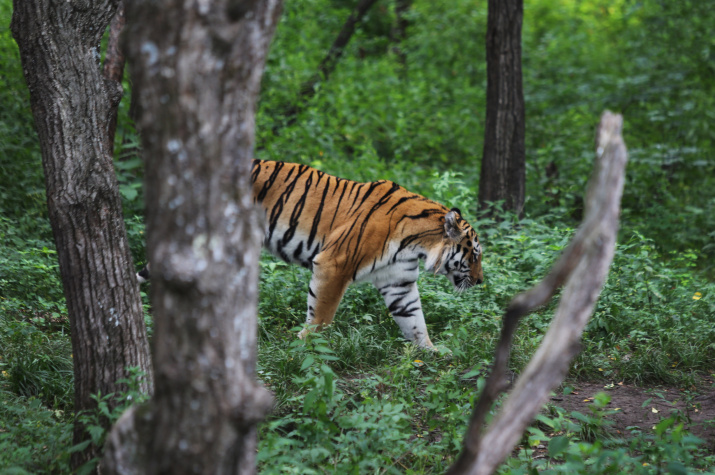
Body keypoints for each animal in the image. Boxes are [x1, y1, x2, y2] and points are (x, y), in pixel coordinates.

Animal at [138, 160, 486, 350]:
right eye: (474, 255)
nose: (482, 282)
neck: (417, 244)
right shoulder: (335, 264)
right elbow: (322, 314)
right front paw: (305, 346)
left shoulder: (398, 282)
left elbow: (414, 319)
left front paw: (431, 351)